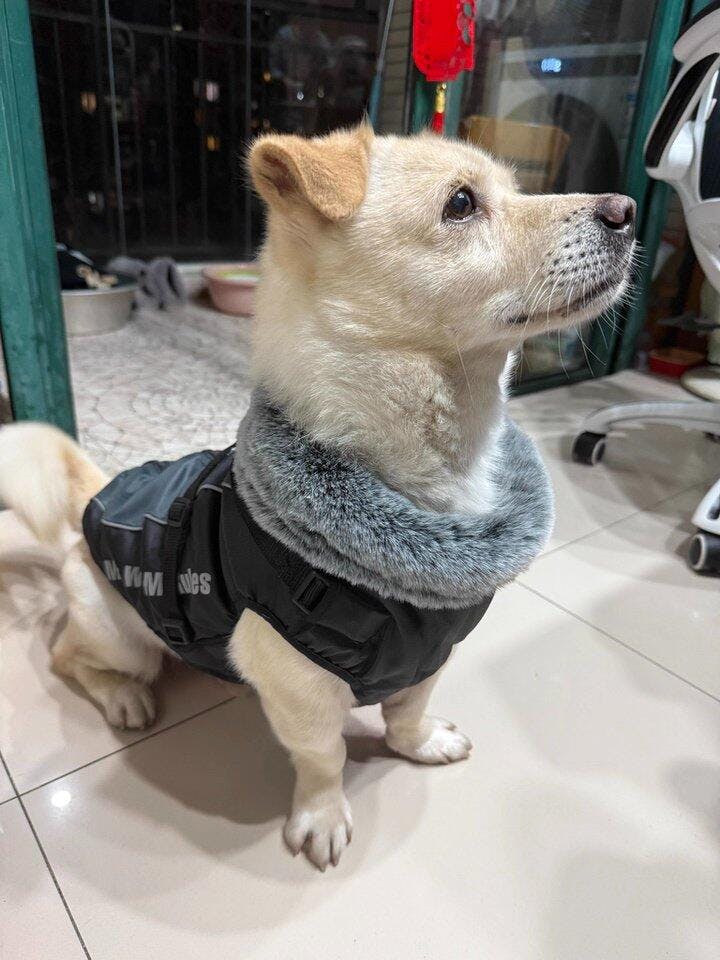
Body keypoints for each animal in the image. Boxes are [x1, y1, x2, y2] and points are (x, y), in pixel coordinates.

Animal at [0, 125, 635, 870]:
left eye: (514, 188)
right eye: (460, 203)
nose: (625, 209)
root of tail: (91, 506)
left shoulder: (431, 655)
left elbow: (408, 711)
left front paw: (420, 745)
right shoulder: (300, 693)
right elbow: (323, 758)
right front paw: (322, 816)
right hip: (121, 636)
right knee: (68, 657)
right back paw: (123, 698)